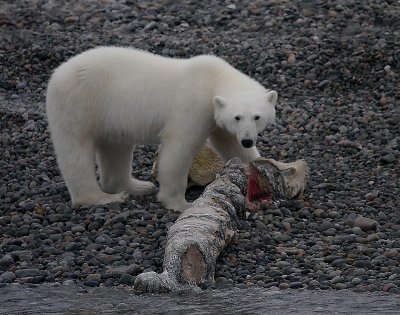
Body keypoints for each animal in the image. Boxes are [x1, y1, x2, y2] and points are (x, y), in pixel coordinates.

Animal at [46, 47, 278, 212]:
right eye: (237, 117)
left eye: (257, 117)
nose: (247, 139)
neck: (213, 79)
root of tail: (57, 73)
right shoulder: (192, 107)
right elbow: (178, 150)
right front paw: (180, 203)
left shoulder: (216, 117)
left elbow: (231, 145)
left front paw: (260, 170)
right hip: (78, 103)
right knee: (76, 152)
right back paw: (102, 197)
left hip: (110, 117)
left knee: (116, 147)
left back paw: (136, 186)